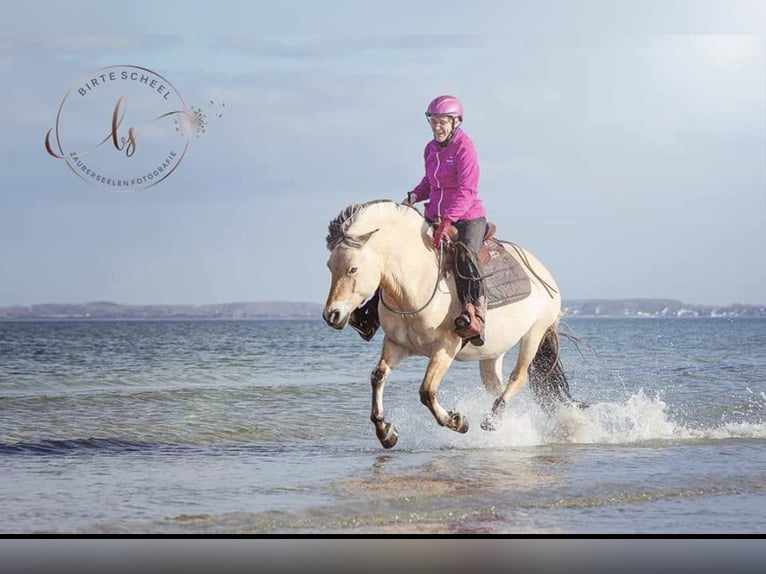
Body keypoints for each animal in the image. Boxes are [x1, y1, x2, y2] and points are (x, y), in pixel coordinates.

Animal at [322, 201, 584, 450]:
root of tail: (543, 272)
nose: (331, 315)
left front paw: (457, 421)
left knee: (517, 378)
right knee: (496, 386)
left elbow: (426, 391)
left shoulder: (445, 347)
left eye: (353, 269)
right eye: (330, 267)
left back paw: (491, 420)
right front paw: (386, 433)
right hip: (492, 354)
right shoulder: (396, 344)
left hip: (534, 333)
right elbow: (378, 377)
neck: (416, 281)